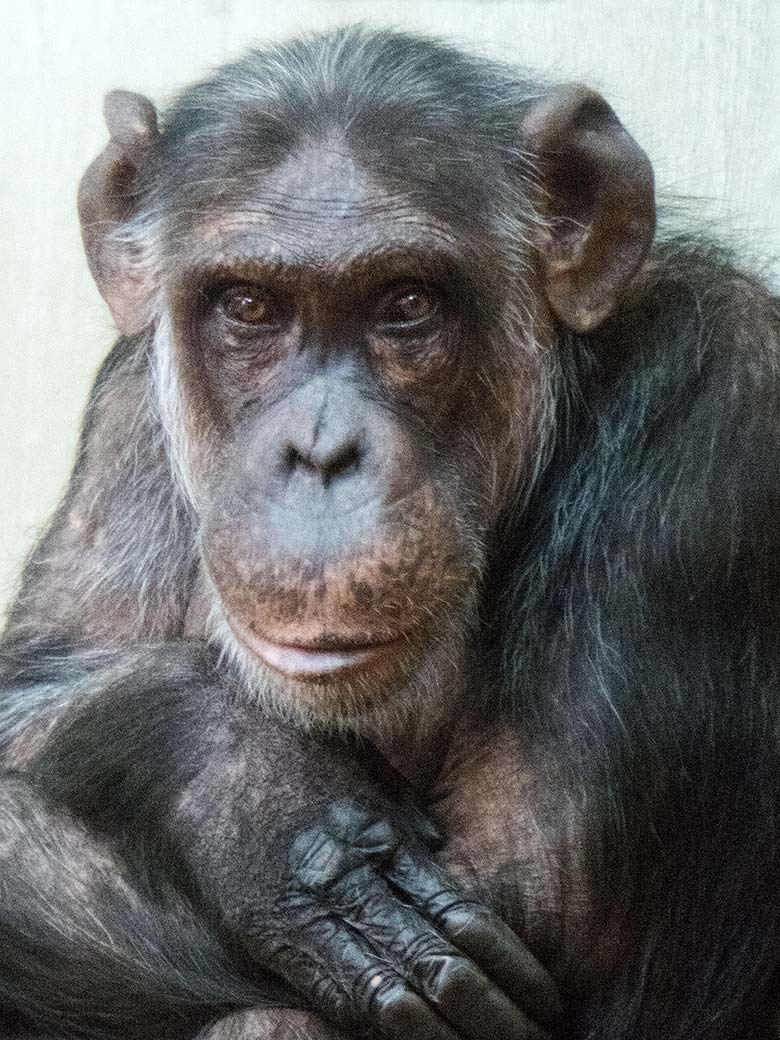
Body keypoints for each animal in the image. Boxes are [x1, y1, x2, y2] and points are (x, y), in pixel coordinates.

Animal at [1, 22, 780, 1040]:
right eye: (248, 306)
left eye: (407, 303)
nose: (322, 452)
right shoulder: (131, 405)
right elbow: (37, 676)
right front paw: (261, 806)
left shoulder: (719, 402)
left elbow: (524, 898)